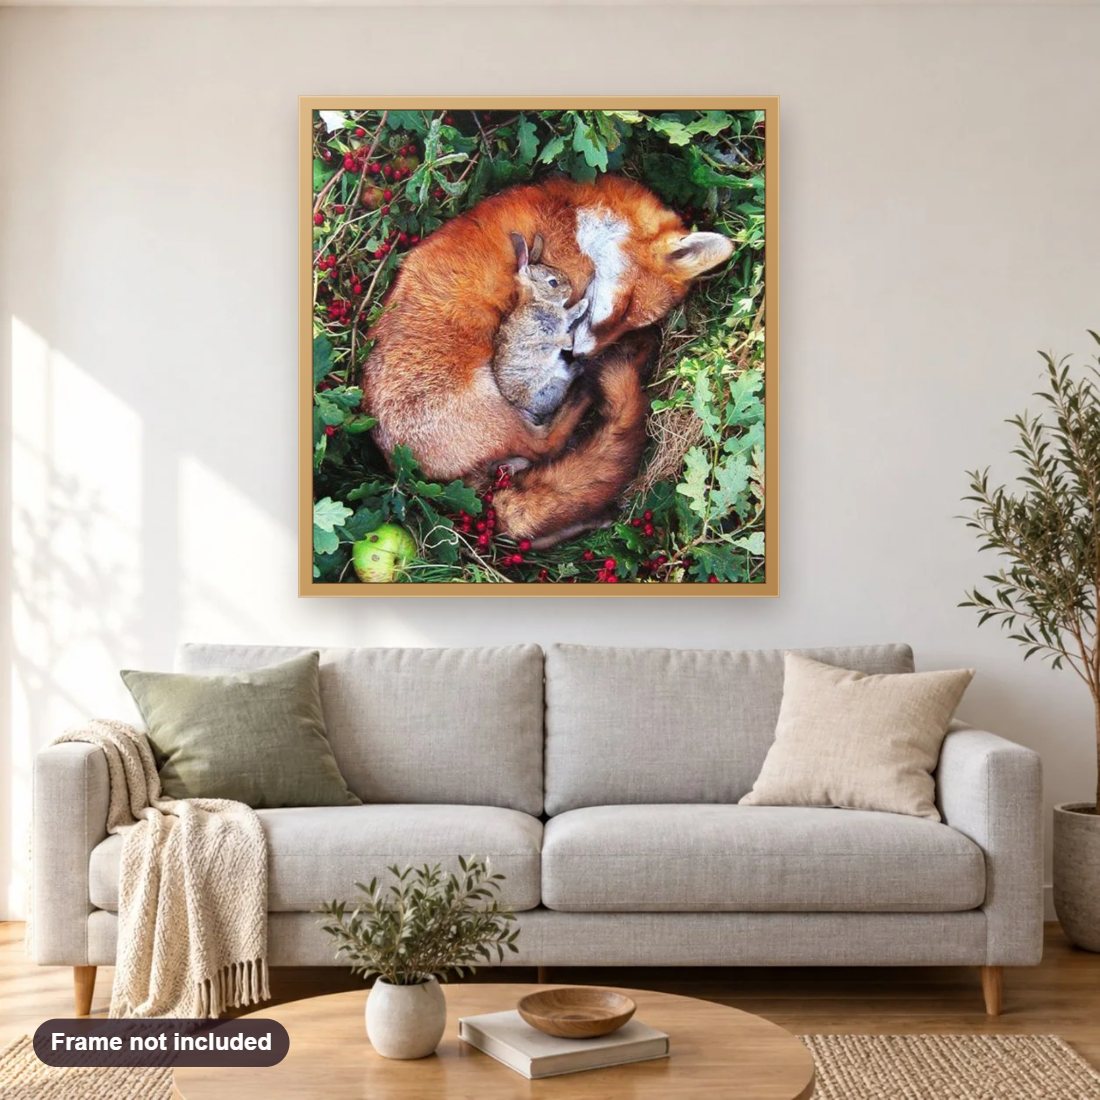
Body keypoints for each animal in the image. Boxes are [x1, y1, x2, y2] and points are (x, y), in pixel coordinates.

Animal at [492, 232, 590, 425]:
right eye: (553, 283)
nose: (570, 291)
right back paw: (579, 366)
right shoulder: (543, 332)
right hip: (548, 387)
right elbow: (560, 331)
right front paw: (584, 303)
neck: (538, 299)